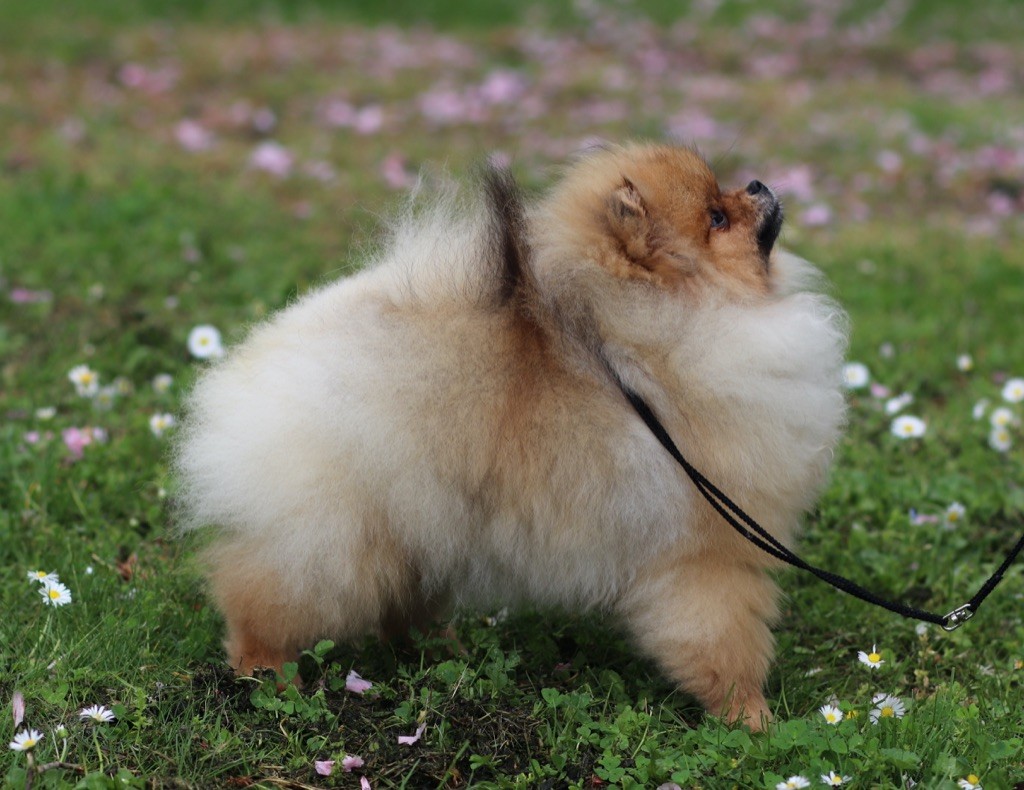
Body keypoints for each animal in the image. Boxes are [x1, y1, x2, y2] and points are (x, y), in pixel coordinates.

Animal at [176, 140, 847, 729]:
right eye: (715, 217)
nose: (757, 184)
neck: (664, 331)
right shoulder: (706, 555)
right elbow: (726, 643)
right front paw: (751, 719)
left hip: (416, 521)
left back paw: (440, 649)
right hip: (339, 532)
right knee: (266, 594)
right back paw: (265, 674)